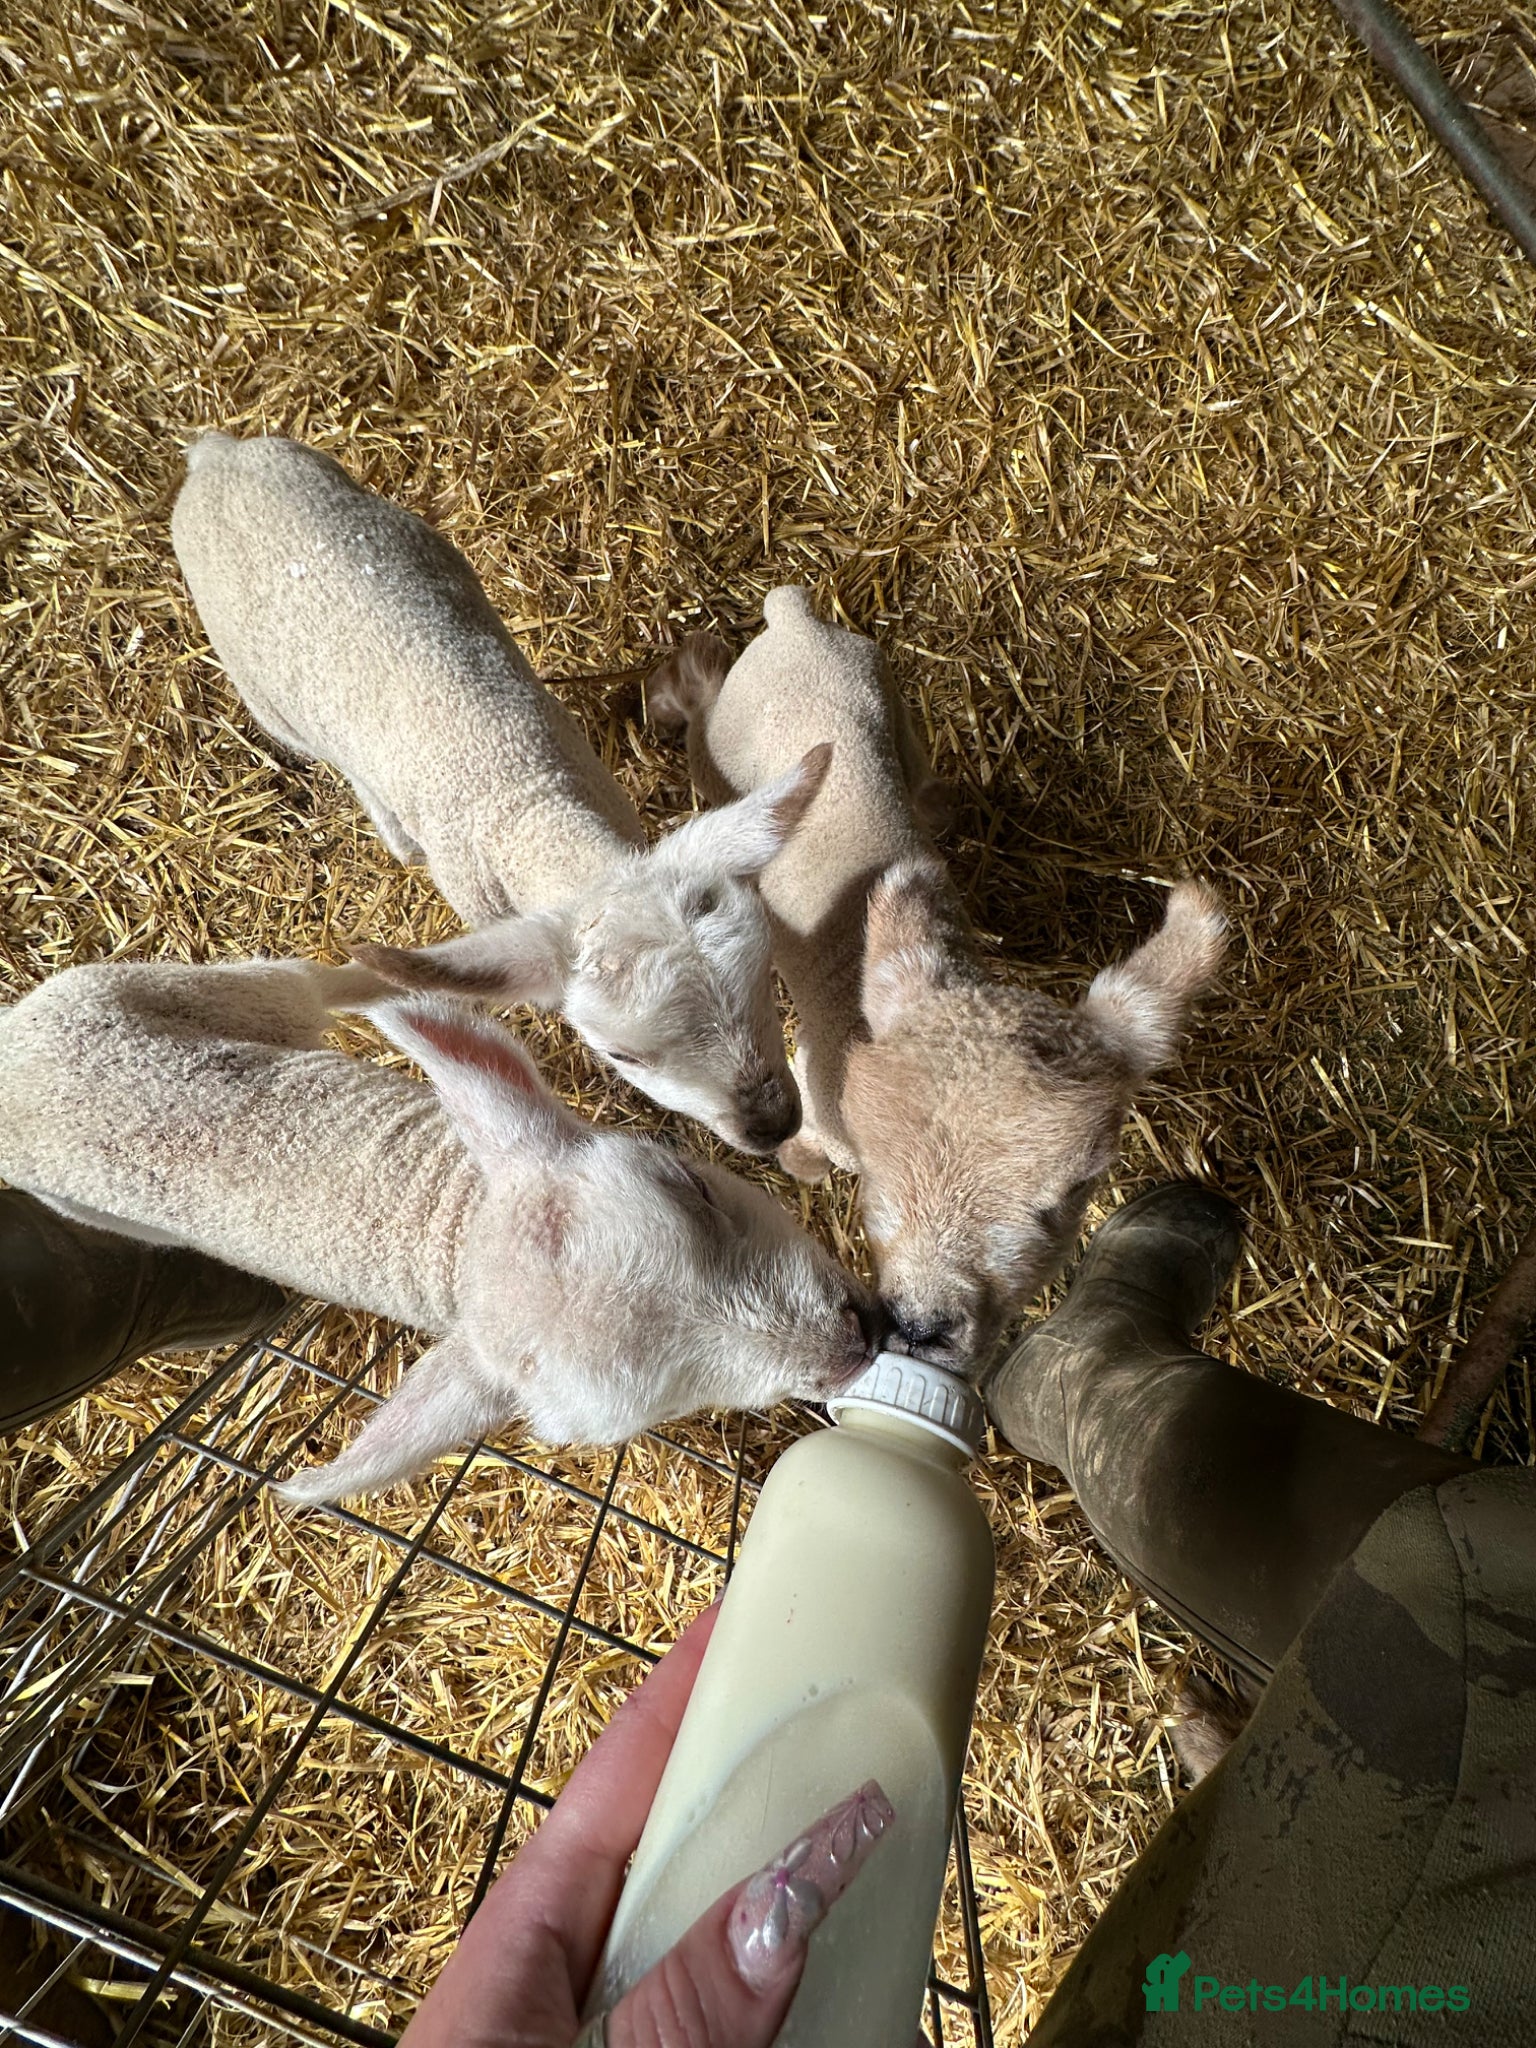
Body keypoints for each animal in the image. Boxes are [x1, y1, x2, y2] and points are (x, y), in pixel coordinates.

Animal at [0, 955, 880, 1503]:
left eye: (693, 1186)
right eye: (660, 1411)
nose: (856, 1338)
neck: (451, 1222)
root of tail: (14, 1073)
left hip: (163, 989)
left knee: (305, 982)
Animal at [171, 433, 830, 1156]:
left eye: (765, 975)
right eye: (620, 1056)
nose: (773, 1124)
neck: (533, 805)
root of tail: (219, 454)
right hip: (265, 694)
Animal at [648, 587, 1226, 1371]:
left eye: (1075, 1191)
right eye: (878, 1159)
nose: (923, 1329)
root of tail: (792, 620)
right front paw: (801, 1163)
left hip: (892, 699)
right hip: (727, 747)